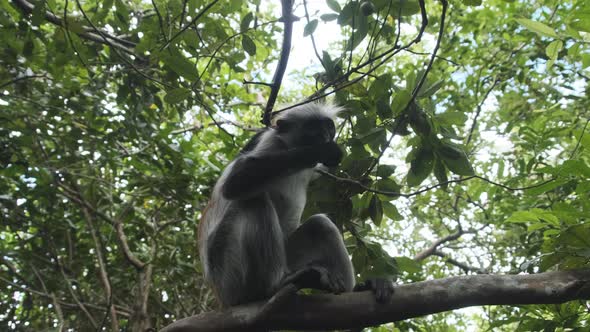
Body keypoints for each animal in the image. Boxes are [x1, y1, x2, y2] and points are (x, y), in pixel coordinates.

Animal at [198, 104, 394, 308]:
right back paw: (274, 286)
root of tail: (220, 295)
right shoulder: (271, 142)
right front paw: (321, 150)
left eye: (328, 127)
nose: (325, 136)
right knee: (253, 201)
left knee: (320, 225)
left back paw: (355, 288)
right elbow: (234, 183)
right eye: (313, 128)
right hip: (229, 274)